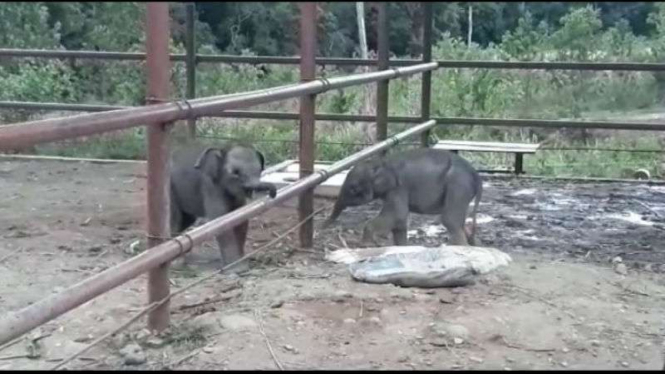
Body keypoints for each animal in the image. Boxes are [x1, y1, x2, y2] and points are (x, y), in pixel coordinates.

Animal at [320, 148, 480, 247]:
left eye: (353, 188)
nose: (322, 227)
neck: (381, 163)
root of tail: (476, 174)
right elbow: (400, 222)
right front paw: (402, 247)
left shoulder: (398, 188)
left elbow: (397, 215)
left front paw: (366, 244)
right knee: (460, 223)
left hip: (457, 186)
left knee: (449, 220)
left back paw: (463, 247)